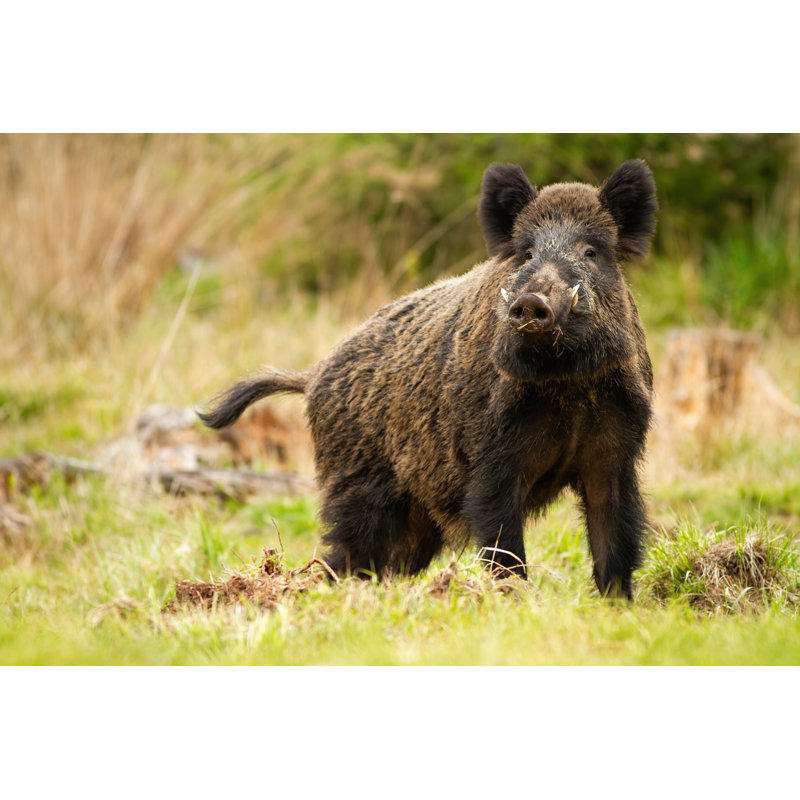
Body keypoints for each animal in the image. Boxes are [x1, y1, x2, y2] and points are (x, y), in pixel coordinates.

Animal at [199, 159, 658, 599]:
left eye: (591, 251)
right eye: (527, 254)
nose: (532, 301)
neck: (566, 383)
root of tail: (313, 376)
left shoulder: (615, 454)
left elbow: (615, 536)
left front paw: (618, 605)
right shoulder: (490, 459)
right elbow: (503, 544)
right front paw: (512, 598)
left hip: (414, 514)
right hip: (355, 483)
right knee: (344, 554)